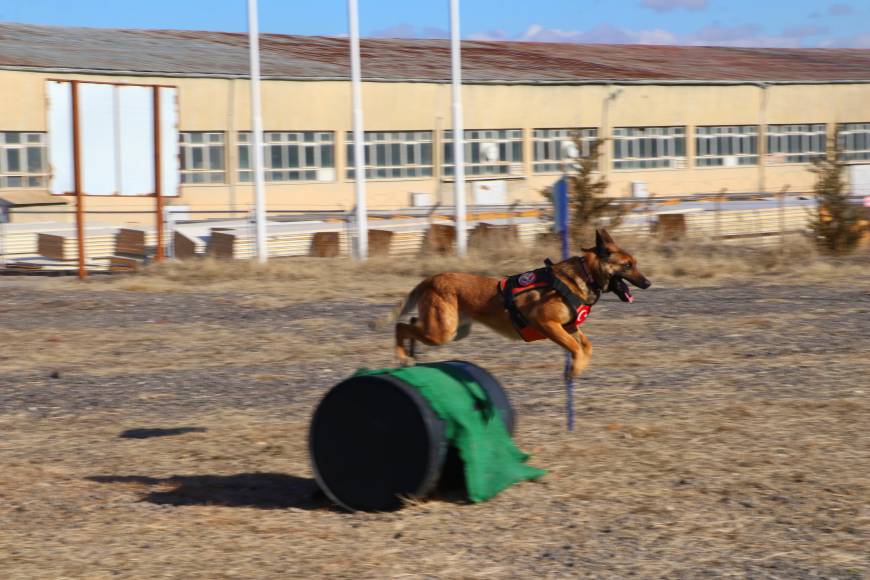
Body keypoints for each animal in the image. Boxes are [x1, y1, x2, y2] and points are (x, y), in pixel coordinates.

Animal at [392, 229, 652, 378]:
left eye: (635, 263)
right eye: (628, 265)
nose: (648, 283)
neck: (585, 273)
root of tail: (432, 279)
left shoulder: (569, 326)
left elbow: (586, 346)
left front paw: (578, 367)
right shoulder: (547, 324)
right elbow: (576, 348)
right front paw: (574, 370)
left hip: (453, 330)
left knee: (412, 322)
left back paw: (410, 354)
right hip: (442, 332)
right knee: (401, 326)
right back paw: (402, 355)